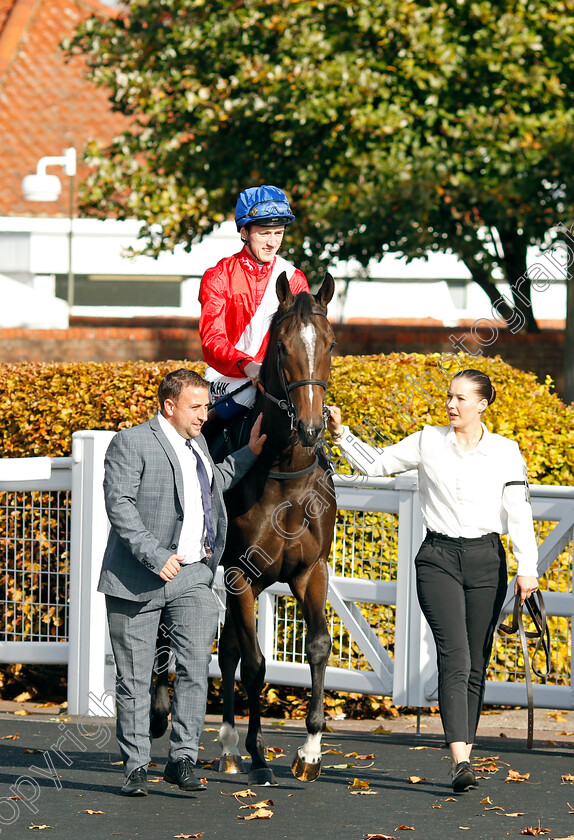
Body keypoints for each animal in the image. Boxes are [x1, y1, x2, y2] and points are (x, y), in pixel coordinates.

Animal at [152, 270, 338, 788]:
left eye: (330, 343)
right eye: (283, 347)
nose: (312, 427)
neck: (285, 473)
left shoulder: (311, 572)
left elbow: (317, 647)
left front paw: (309, 752)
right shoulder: (242, 574)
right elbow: (256, 665)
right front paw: (259, 755)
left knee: (228, 648)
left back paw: (230, 744)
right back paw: (166, 717)